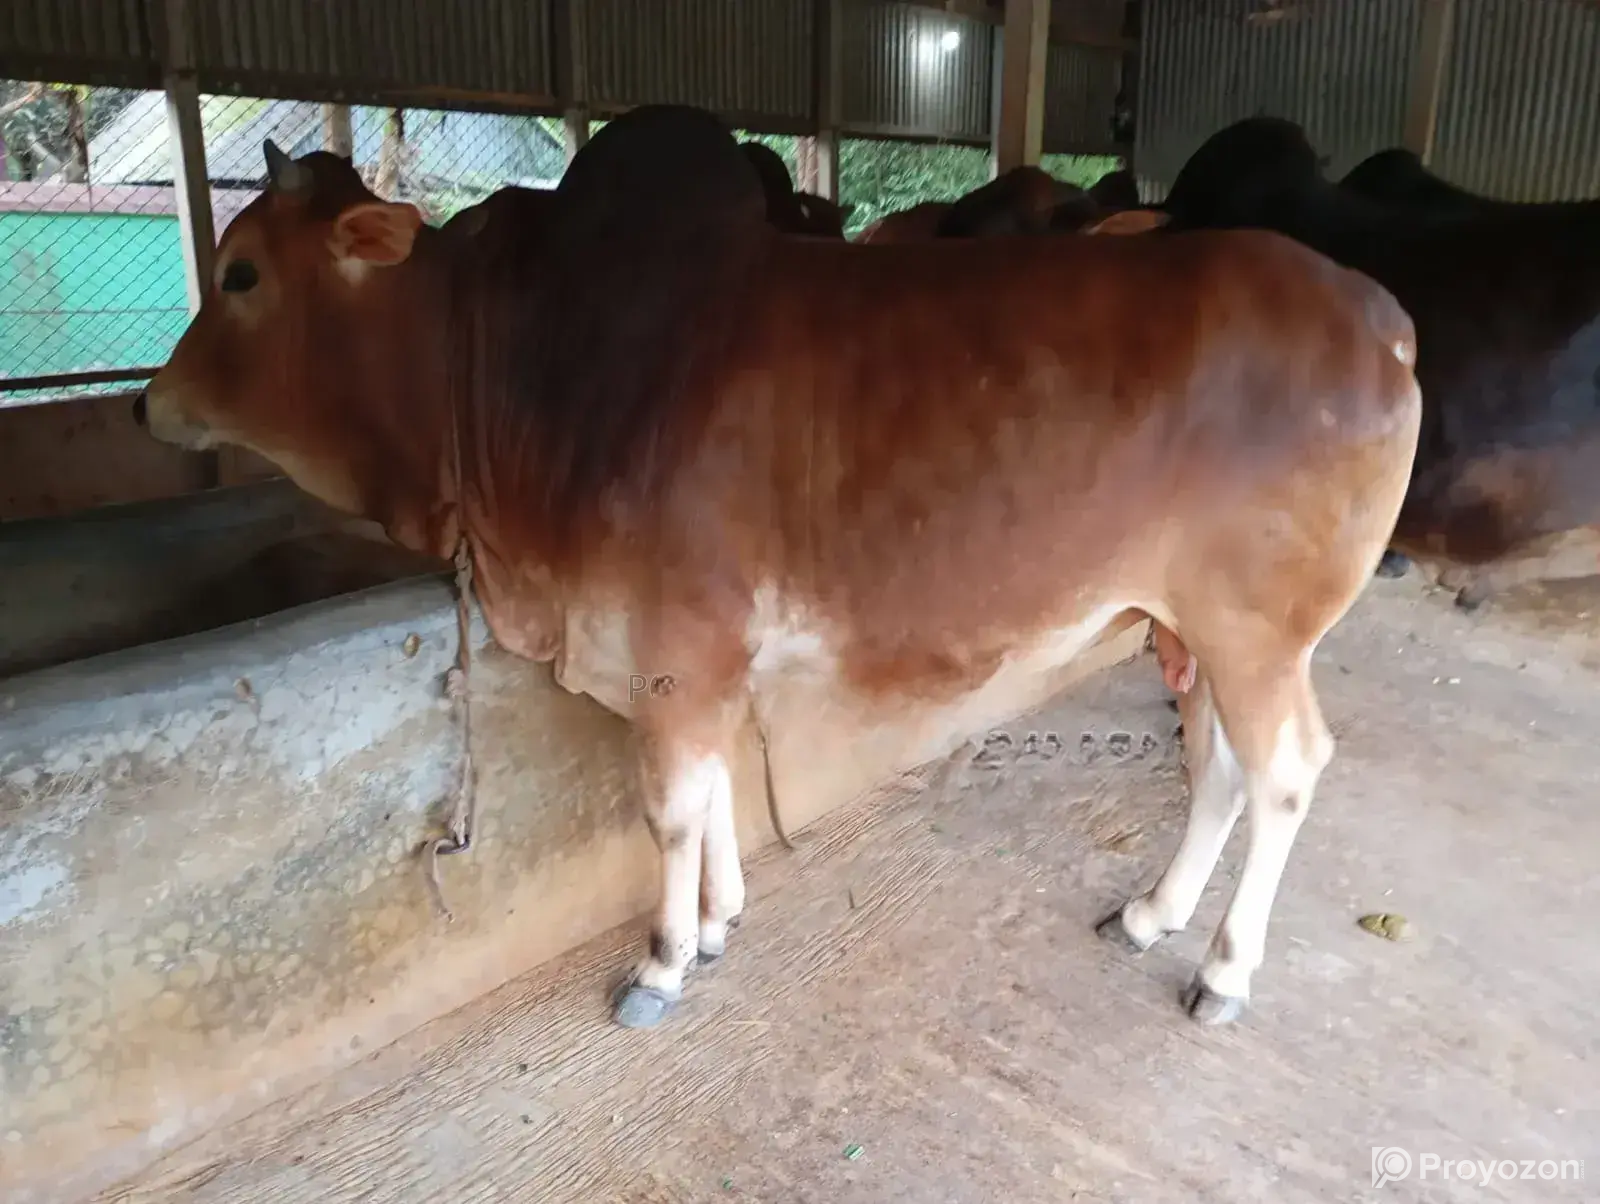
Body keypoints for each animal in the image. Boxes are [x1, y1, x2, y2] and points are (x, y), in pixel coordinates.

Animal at [133, 104, 1421, 1030]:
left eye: (241, 273)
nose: (147, 405)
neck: (518, 367)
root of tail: (1379, 316)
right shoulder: (691, 660)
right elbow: (710, 794)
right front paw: (717, 923)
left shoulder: (675, 646)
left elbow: (666, 806)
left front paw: (661, 962)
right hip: (1191, 631)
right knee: (1218, 768)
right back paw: (1152, 913)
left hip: (1258, 634)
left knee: (1285, 772)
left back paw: (1224, 973)